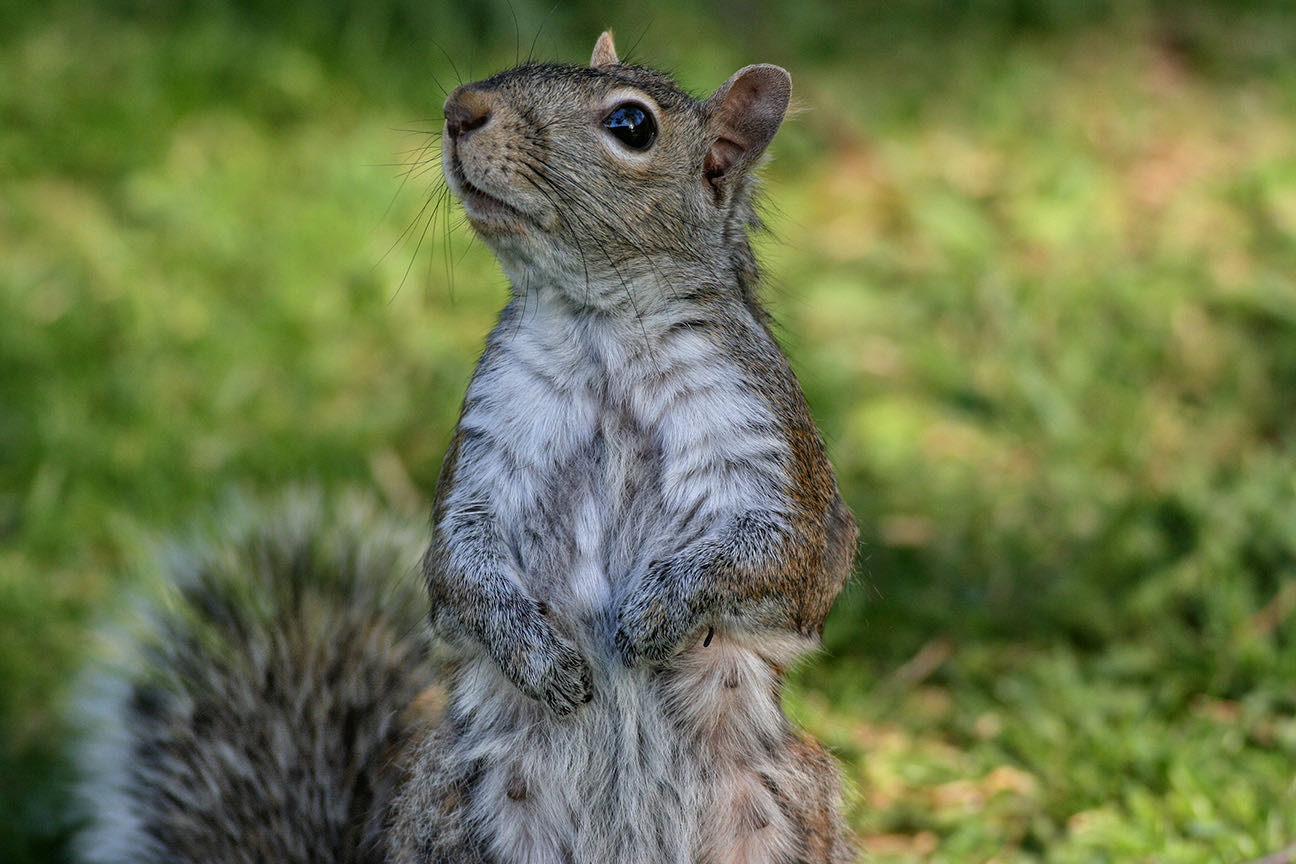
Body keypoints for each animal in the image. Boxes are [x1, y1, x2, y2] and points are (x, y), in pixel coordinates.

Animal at [74, 32, 858, 864]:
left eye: (633, 125)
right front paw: (538, 656)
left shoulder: (771, 447)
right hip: (455, 805)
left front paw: (652, 615)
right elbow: (457, 569)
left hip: (785, 805)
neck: (601, 332)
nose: (460, 108)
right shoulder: (491, 443)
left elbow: (785, 557)